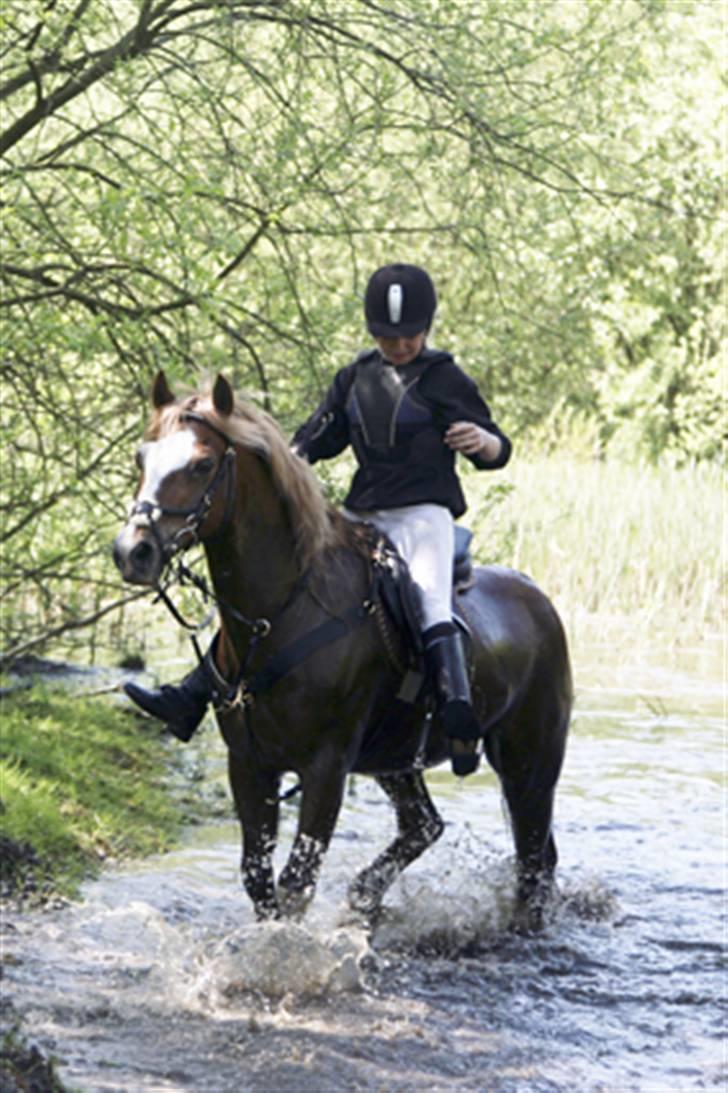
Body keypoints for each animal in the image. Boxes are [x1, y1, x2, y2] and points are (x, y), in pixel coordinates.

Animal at [113, 373, 568, 931]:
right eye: (142, 457)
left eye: (201, 463)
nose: (132, 552)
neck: (284, 611)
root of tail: (537, 596)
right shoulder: (249, 764)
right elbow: (258, 879)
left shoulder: (325, 767)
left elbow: (295, 883)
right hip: (397, 759)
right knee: (425, 825)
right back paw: (364, 897)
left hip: (530, 765)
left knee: (532, 860)